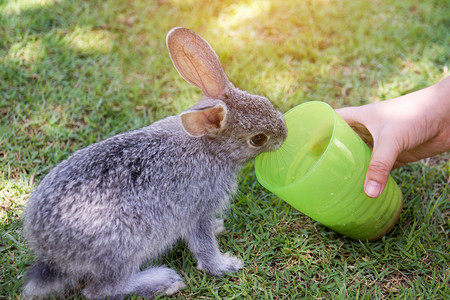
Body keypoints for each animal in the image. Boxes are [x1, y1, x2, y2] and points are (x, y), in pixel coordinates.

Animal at [22, 27, 284, 298]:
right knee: (100, 290)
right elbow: (204, 245)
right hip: (122, 250)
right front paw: (225, 265)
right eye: (258, 139)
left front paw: (217, 227)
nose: (284, 133)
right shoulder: (197, 209)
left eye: (264, 101)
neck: (209, 147)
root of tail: (51, 254)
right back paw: (164, 281)